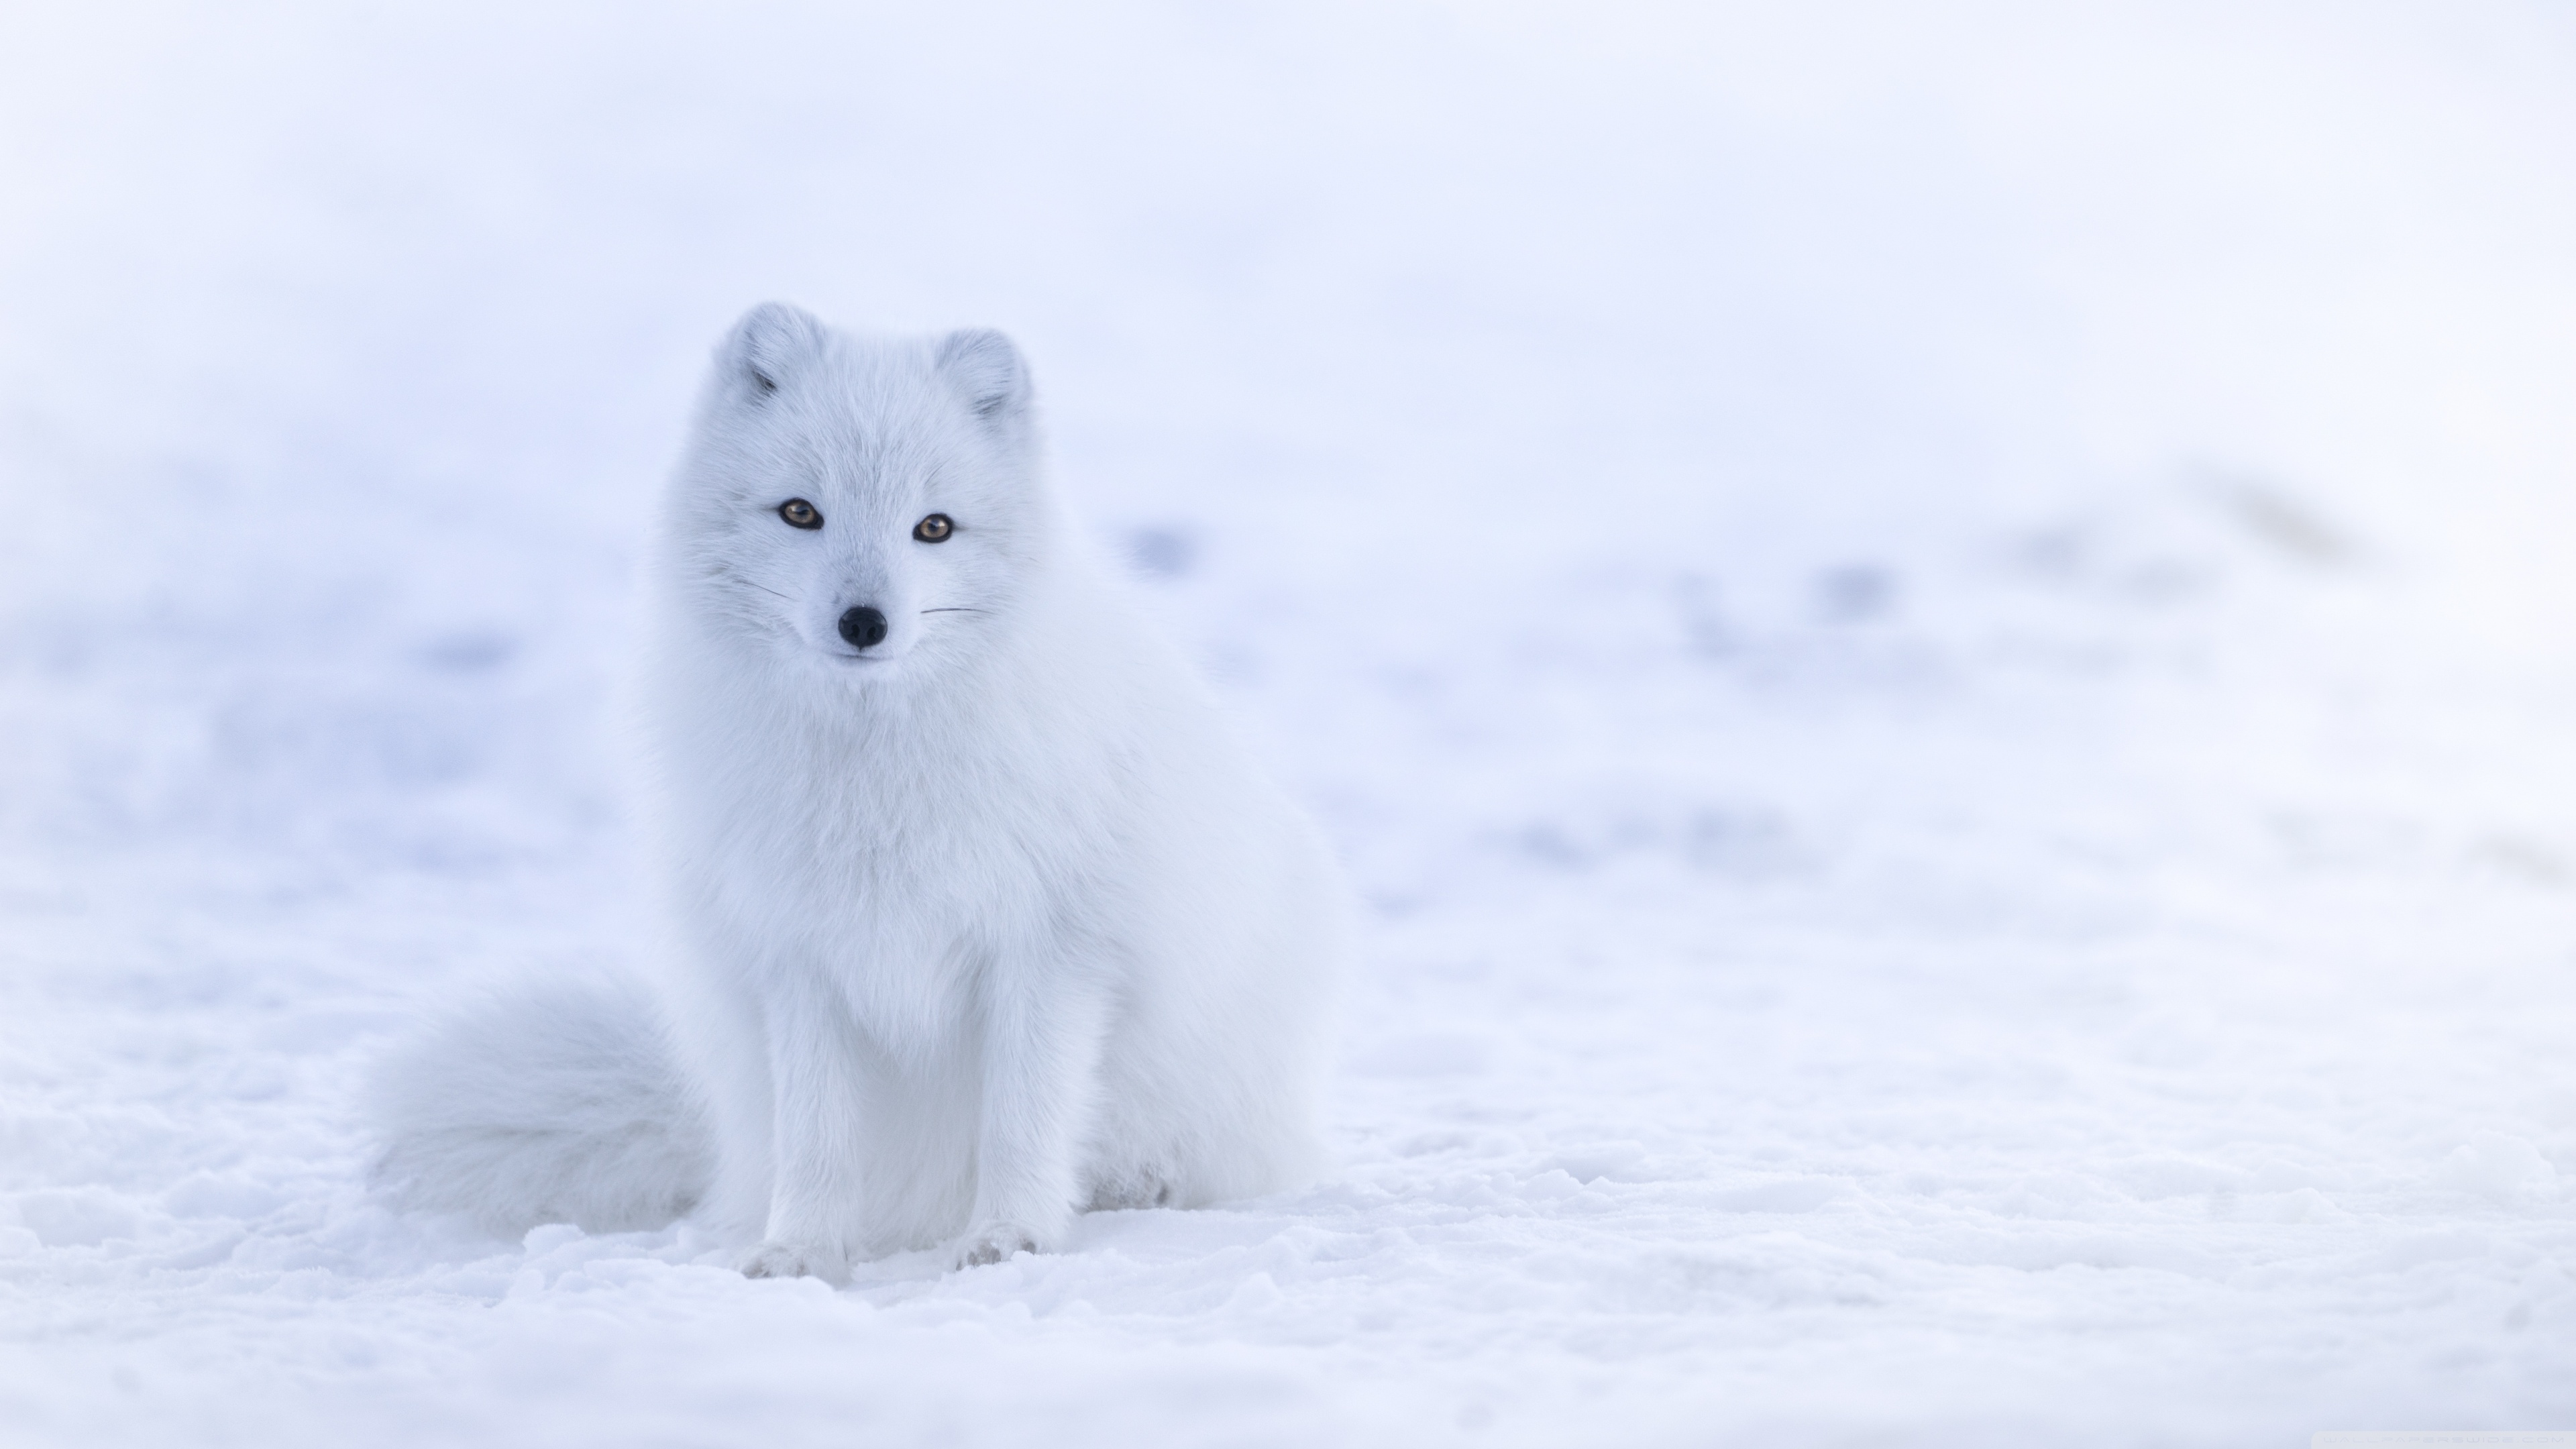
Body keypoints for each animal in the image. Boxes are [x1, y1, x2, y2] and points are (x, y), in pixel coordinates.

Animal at [371, 304, 1348, 1280]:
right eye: (802, 512)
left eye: (935, 528)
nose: (864, 623)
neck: (873, 772)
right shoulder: (798, 958)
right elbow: (817, 1137)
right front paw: (801, 1252)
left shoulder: (1051, 950)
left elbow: (1022, 1119)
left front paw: (1010, 1237)